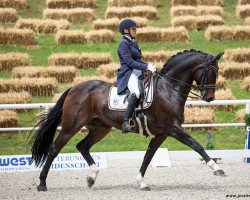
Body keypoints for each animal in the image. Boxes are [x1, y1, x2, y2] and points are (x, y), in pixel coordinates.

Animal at [28, 49, 225, 191]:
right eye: (211, 72)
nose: (209, 98)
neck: (169, 89)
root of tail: (74, 88)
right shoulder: (173, 128)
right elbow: (197, 145)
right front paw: (217, 169)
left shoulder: (162, 134)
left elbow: (148, 156)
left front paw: (142, 182)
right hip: (72, 125)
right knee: (54, 148)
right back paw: (42, 184)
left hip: (100, 128)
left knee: (82, 146)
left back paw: (92, 177)